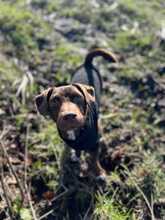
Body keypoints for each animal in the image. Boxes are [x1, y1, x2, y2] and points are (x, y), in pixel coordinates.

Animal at [35, 48, 116, 180]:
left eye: (77, 97)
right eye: (55, 100)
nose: (69, 116)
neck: (76, 131)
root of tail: (87, 64)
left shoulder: (95, 144)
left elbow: (93, 159)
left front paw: (99, 173)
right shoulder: (69, 142)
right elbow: (74, 148)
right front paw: (75, 156)